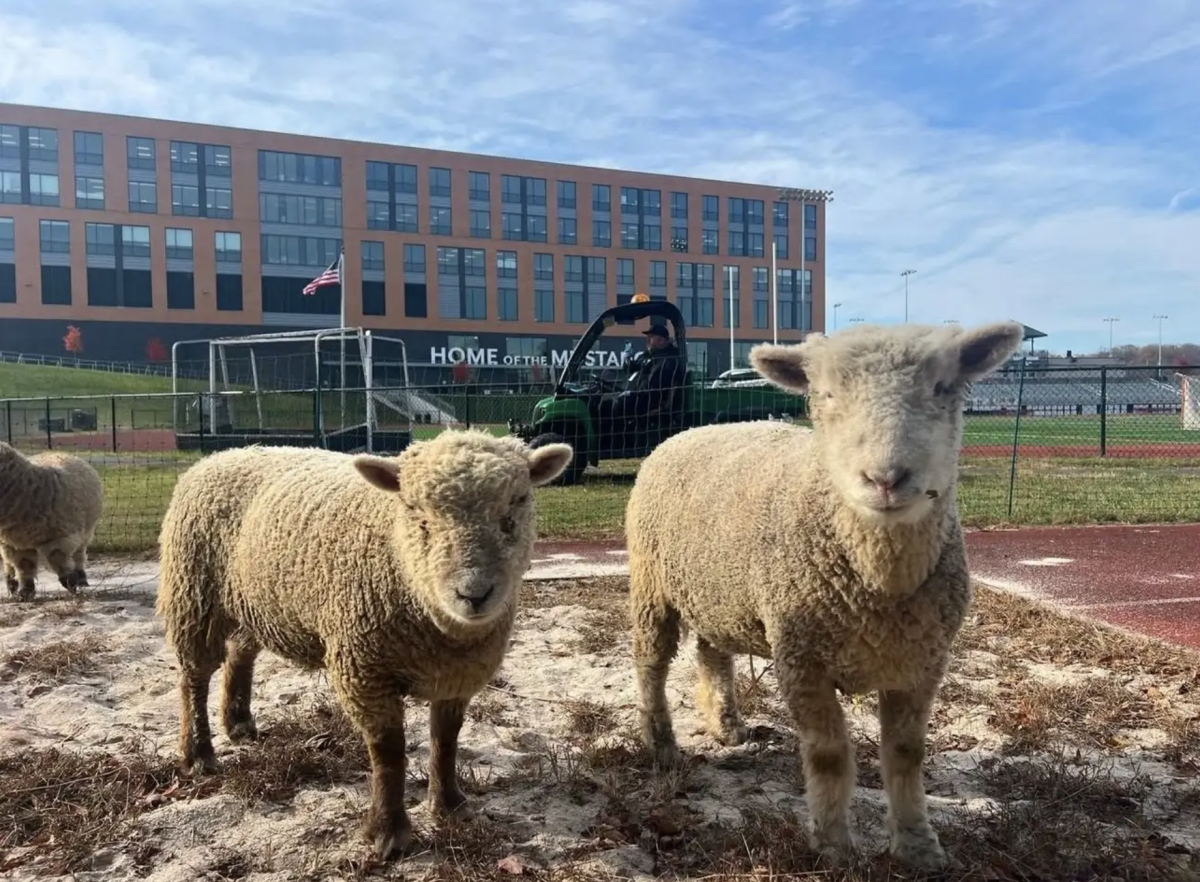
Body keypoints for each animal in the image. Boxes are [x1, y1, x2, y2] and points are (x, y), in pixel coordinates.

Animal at [0, 441, 104, 600]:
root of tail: (60, 452)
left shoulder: (60, 536)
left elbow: (58, 558)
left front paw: (71, 583)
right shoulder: (16, 542)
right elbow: (24, 565)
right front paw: (25, 591)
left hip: (87, 530)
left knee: (79, 555)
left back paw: (81, 578)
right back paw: (11, 583)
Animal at [154, 432, 576, 859]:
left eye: (514, 510)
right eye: (418, 516)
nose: (474, 595)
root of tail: (223, 454)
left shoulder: (457, 674)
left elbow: (446, 739)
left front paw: (449, 806)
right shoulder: (364, 669)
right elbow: (388, 751)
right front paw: (388, 833)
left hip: (256, 602)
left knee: (240, 652)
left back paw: (238, 723)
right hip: (193, 591)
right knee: (194, 677)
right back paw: (198, 754)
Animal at [624, 319, 1027, 868]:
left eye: (944, 388)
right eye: (826, 395)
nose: (884, 479)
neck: (878, 582)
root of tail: (688, 431)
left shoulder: (921, 662)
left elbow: (906, 754)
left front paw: (917, 845)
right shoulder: (802, 659)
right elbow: (829, 754)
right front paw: (835, 846)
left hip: (718, 590)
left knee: (712, 653)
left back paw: (726, 725)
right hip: (651, 583)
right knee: (651, 663)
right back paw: (662, 745)